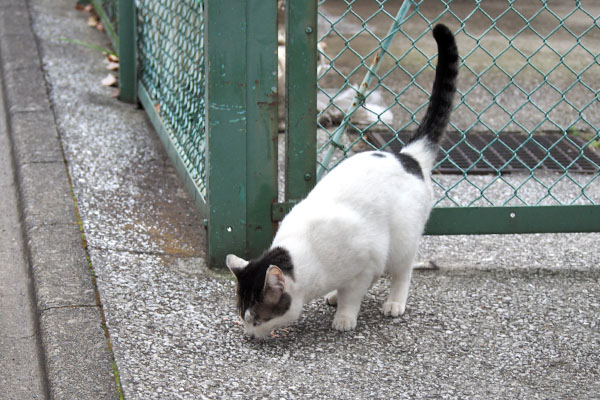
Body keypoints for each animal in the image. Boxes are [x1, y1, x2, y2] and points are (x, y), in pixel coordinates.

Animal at [226, 23, 460, 340]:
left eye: (258, 318)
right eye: (242, 315)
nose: (248, 336)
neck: (307, 257)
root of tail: (409, 156)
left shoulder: (365, 262)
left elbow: (354, 293)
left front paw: (345, 317)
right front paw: (336, 297)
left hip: (402, 240)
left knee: (403, 271)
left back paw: (394, 302)